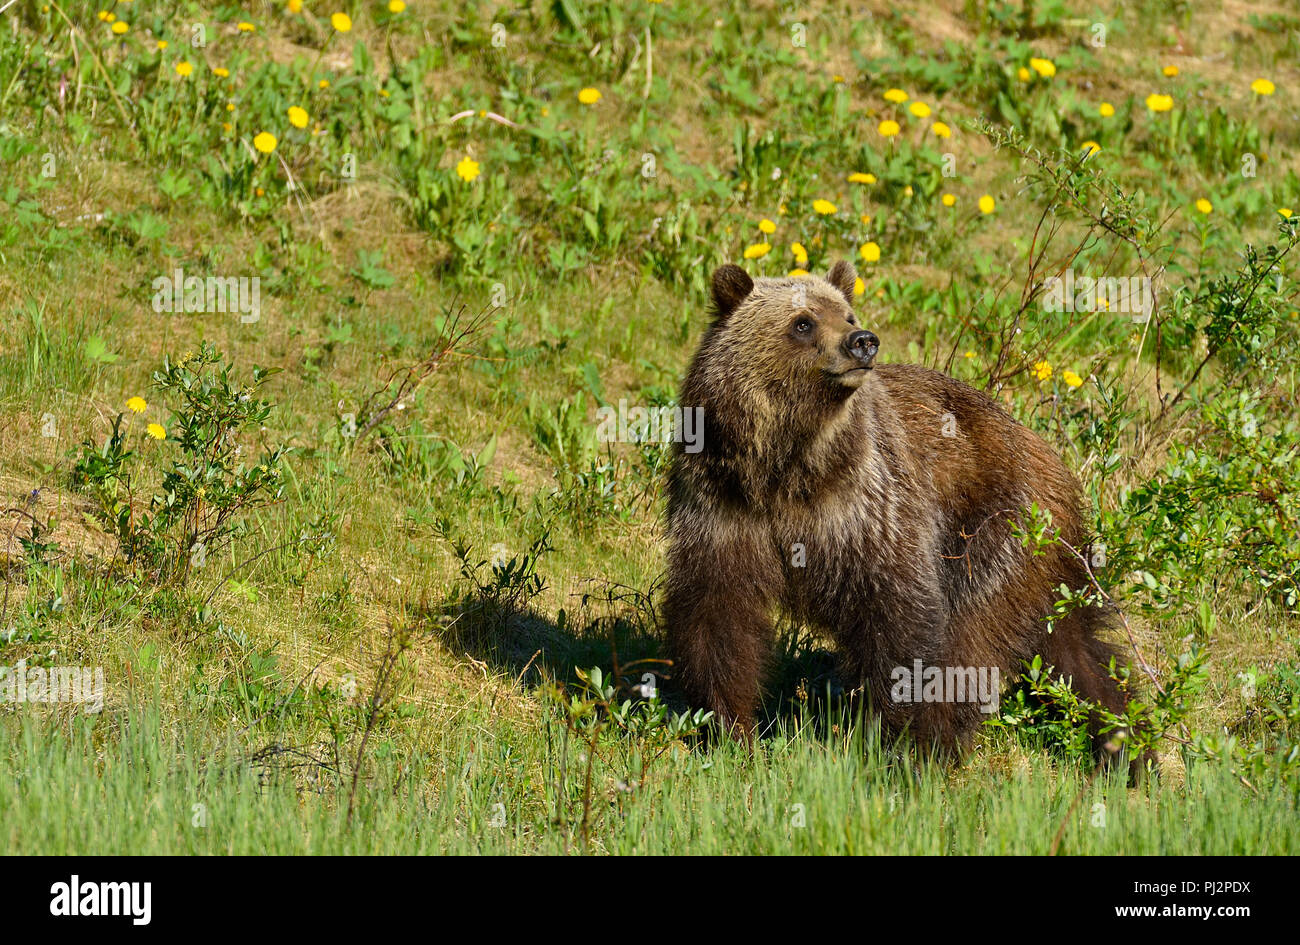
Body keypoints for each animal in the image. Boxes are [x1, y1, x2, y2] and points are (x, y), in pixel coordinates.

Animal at [665, 258, 1144, 769]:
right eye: (803, 322)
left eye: (847, 314)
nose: (862, 341)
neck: (785, 467)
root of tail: (1052, 459)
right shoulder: (723, 505)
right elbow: (718, 615)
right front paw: (730, 730)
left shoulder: (866, 508)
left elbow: (899, 615)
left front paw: (895, 737)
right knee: (1076, 650)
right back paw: (1124, 743)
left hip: (994, 531)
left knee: (970, 638)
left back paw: (938, 746)